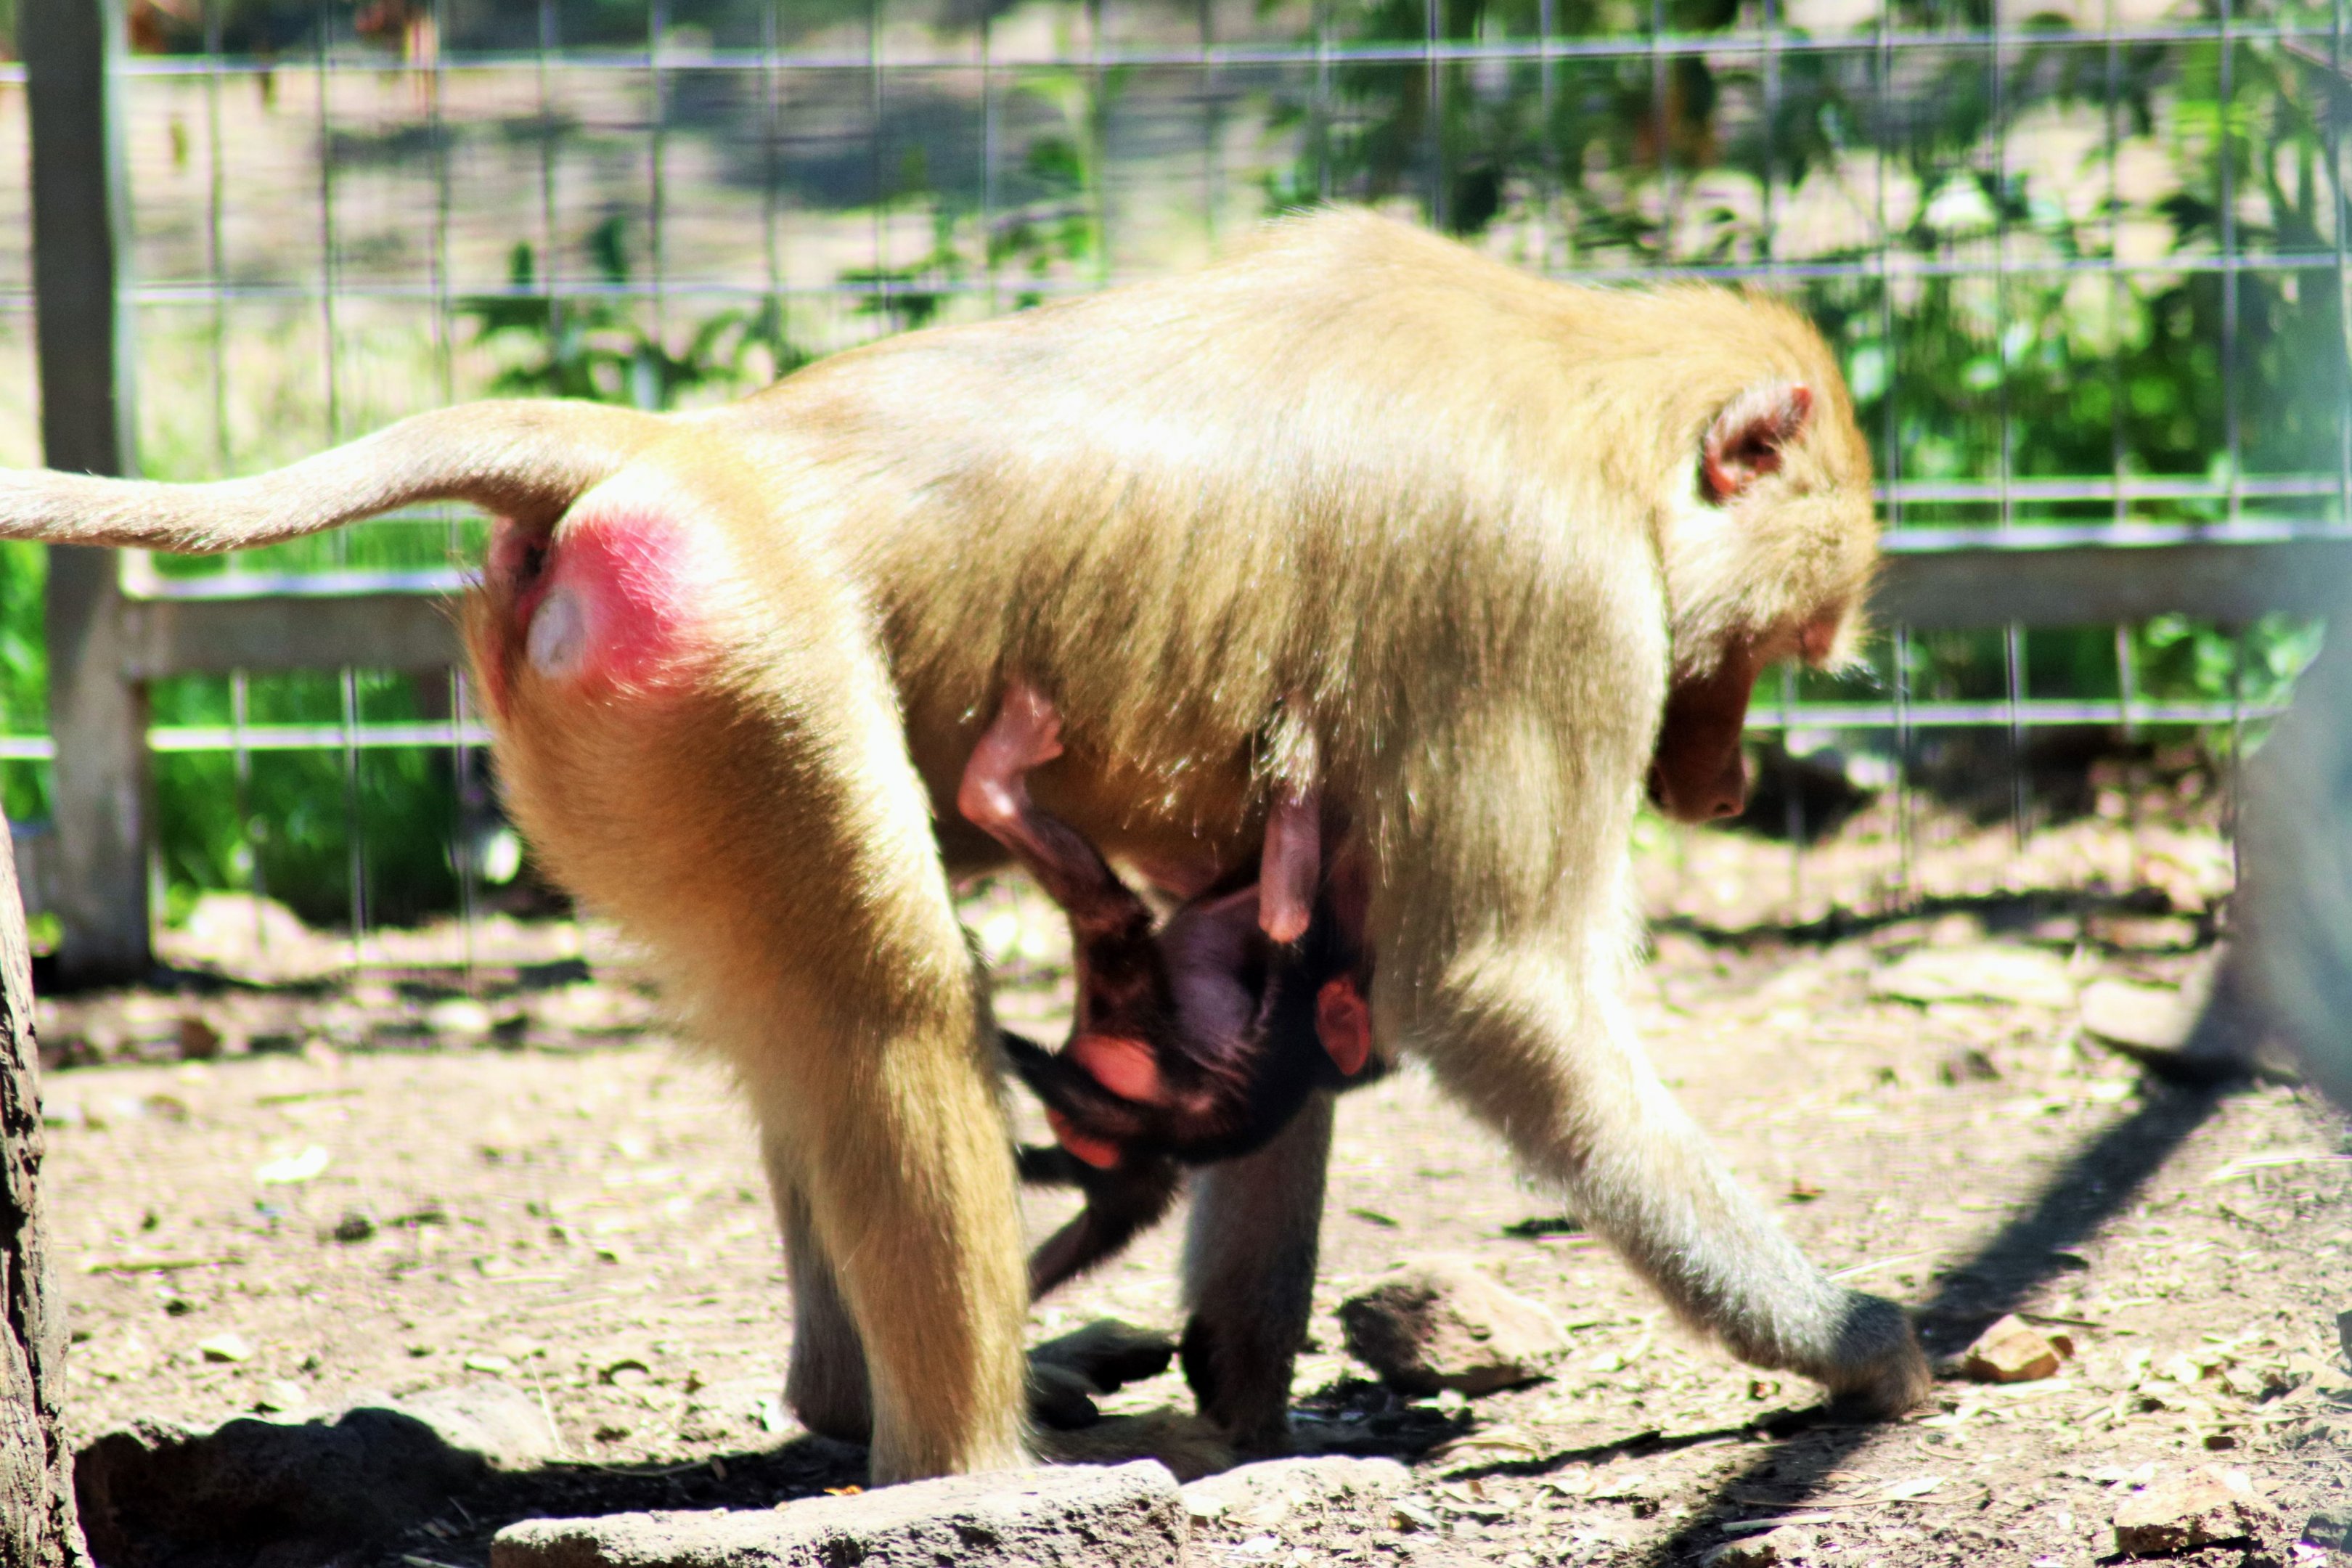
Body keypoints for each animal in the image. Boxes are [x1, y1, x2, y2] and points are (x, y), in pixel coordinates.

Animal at [958, 679, 1377, 1296]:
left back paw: (992, 785)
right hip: (1118, 1135)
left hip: (1126, 1028)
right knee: (1108, 1206)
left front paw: (1301, 736)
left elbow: (1284, 913)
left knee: (1112, 915)